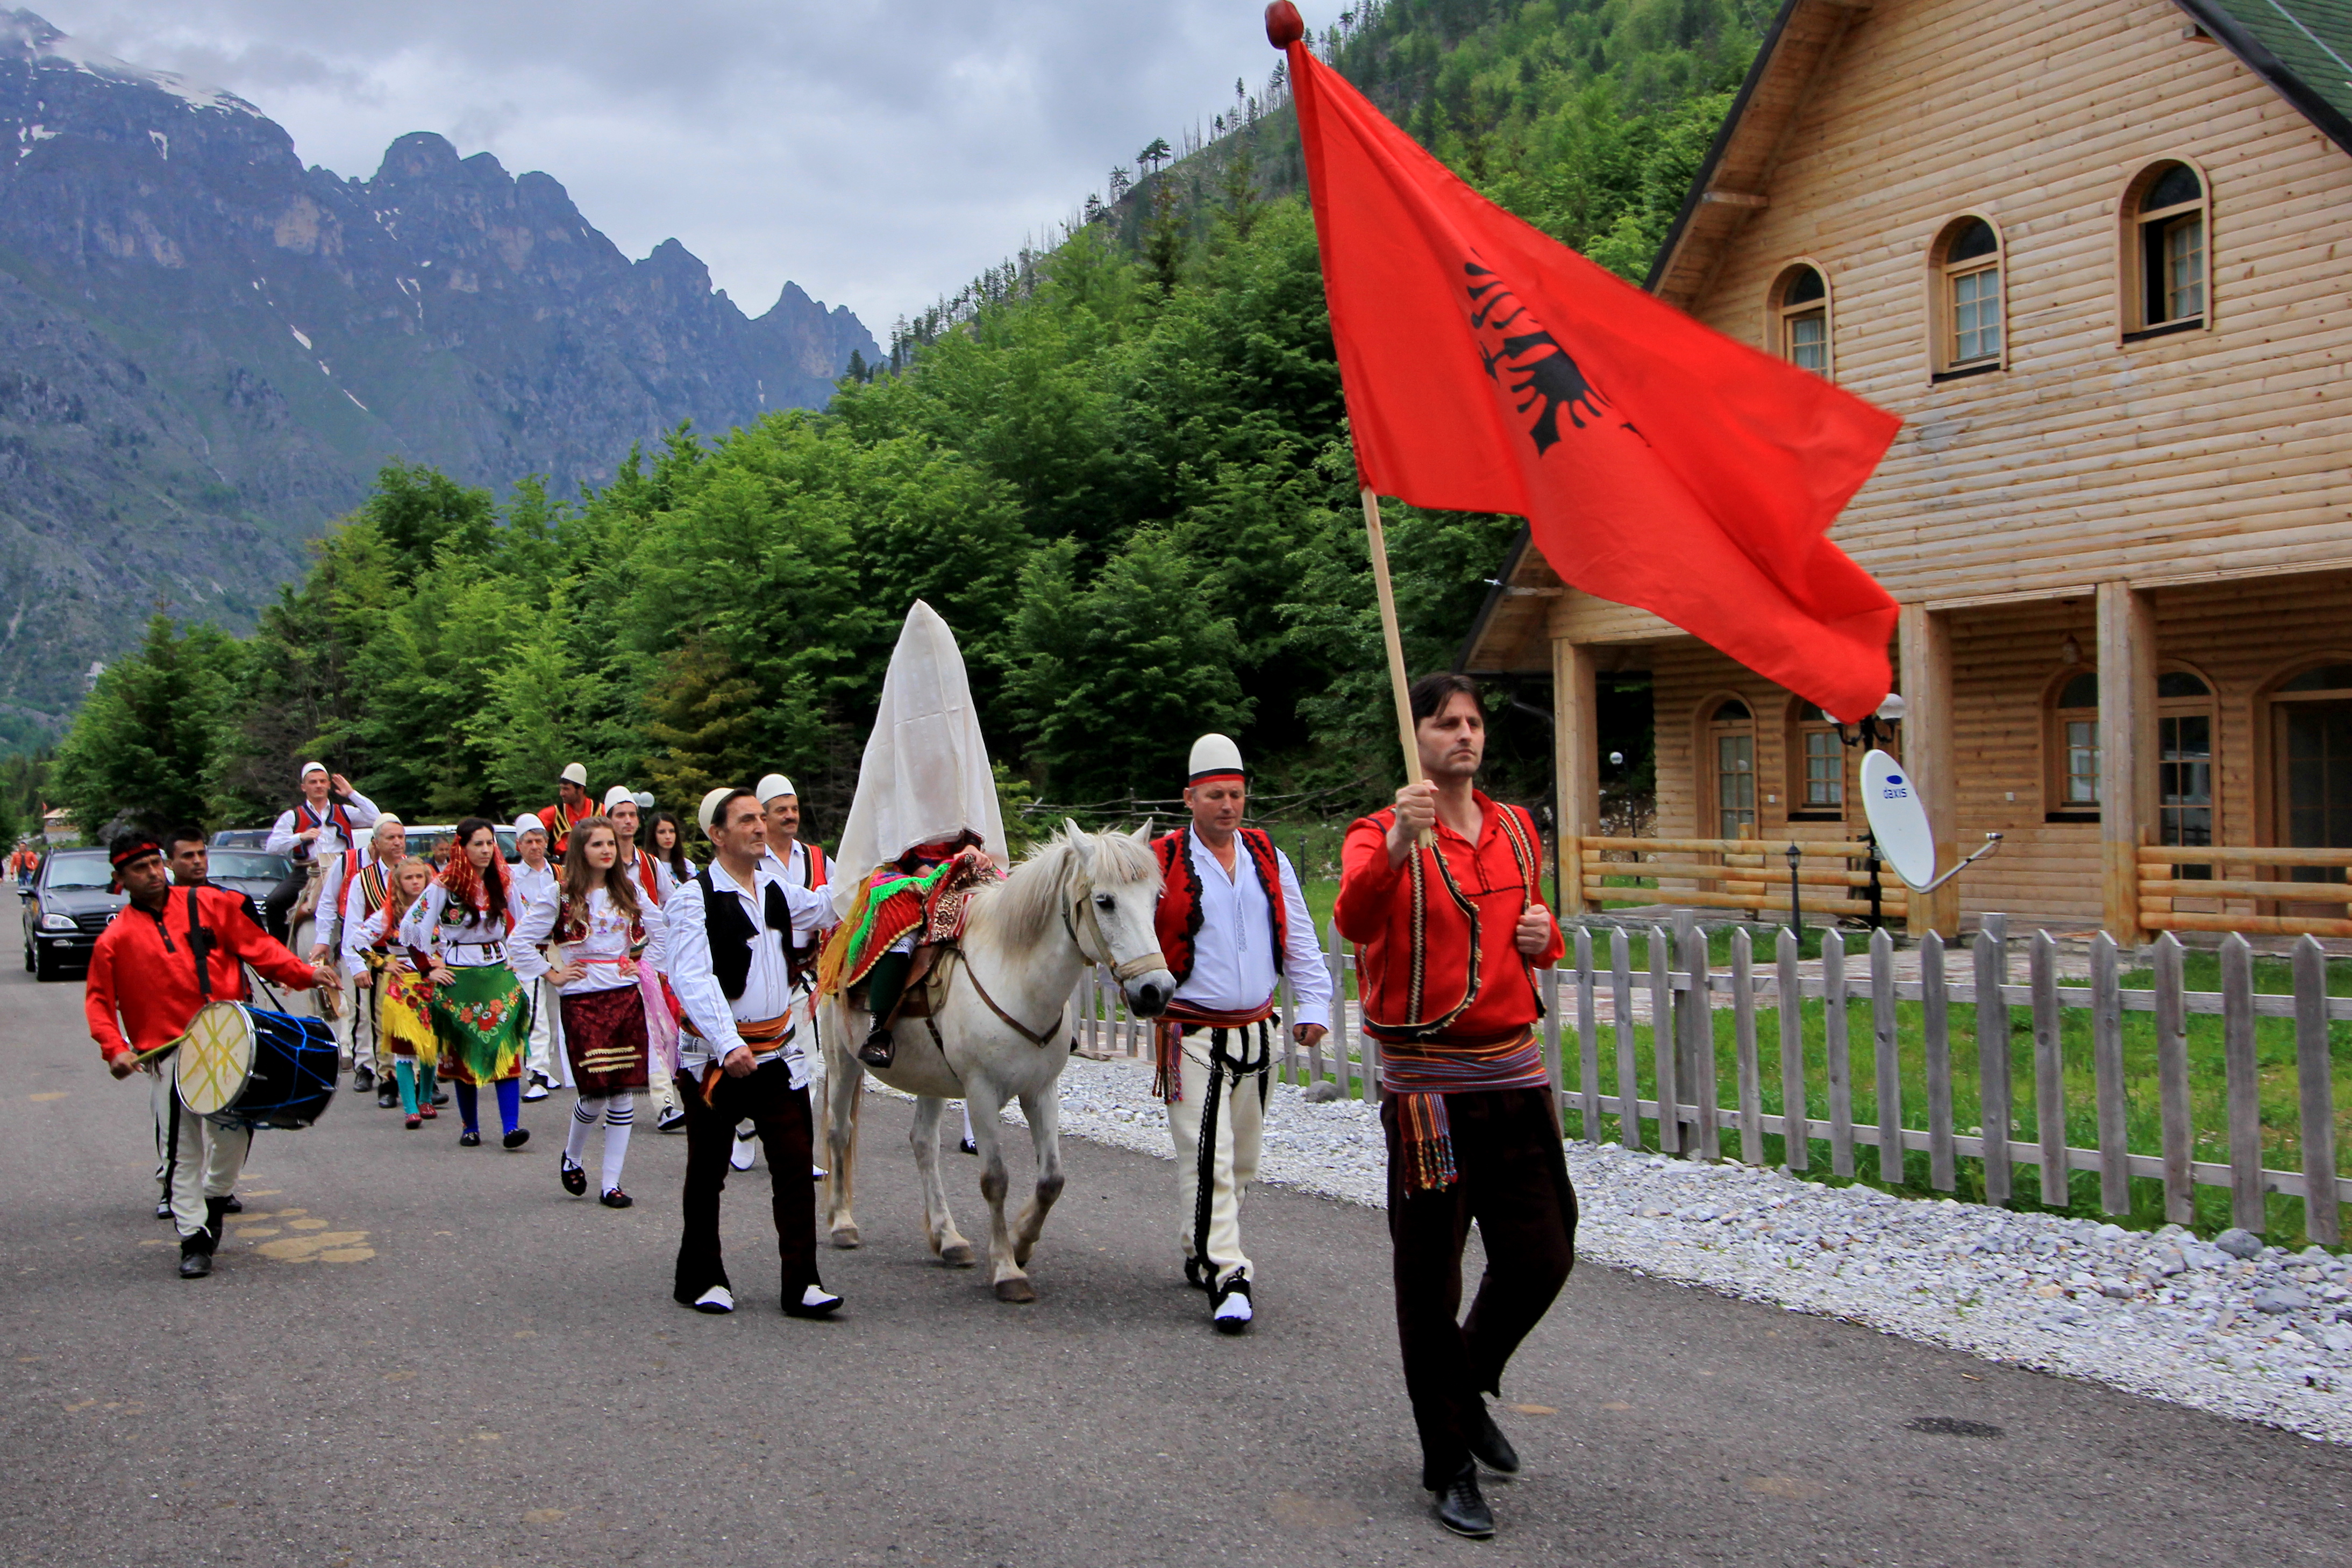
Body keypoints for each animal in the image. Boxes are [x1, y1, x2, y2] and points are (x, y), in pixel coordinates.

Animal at [818, 823, 1176, 1298]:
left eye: (1155, 898)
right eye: (1105, 901)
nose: (1157, 991)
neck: (1016, 978)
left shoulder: (1042, 1091)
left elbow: (1052, 1179)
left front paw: (1023, 1243)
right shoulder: (982, 1092)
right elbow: (995, 1179)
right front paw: (1007, 1269)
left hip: (929, 1078)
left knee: (923, 1144)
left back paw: (948, 1238)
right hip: (843, 1059)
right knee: (840, 1131)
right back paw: (843, 1223)